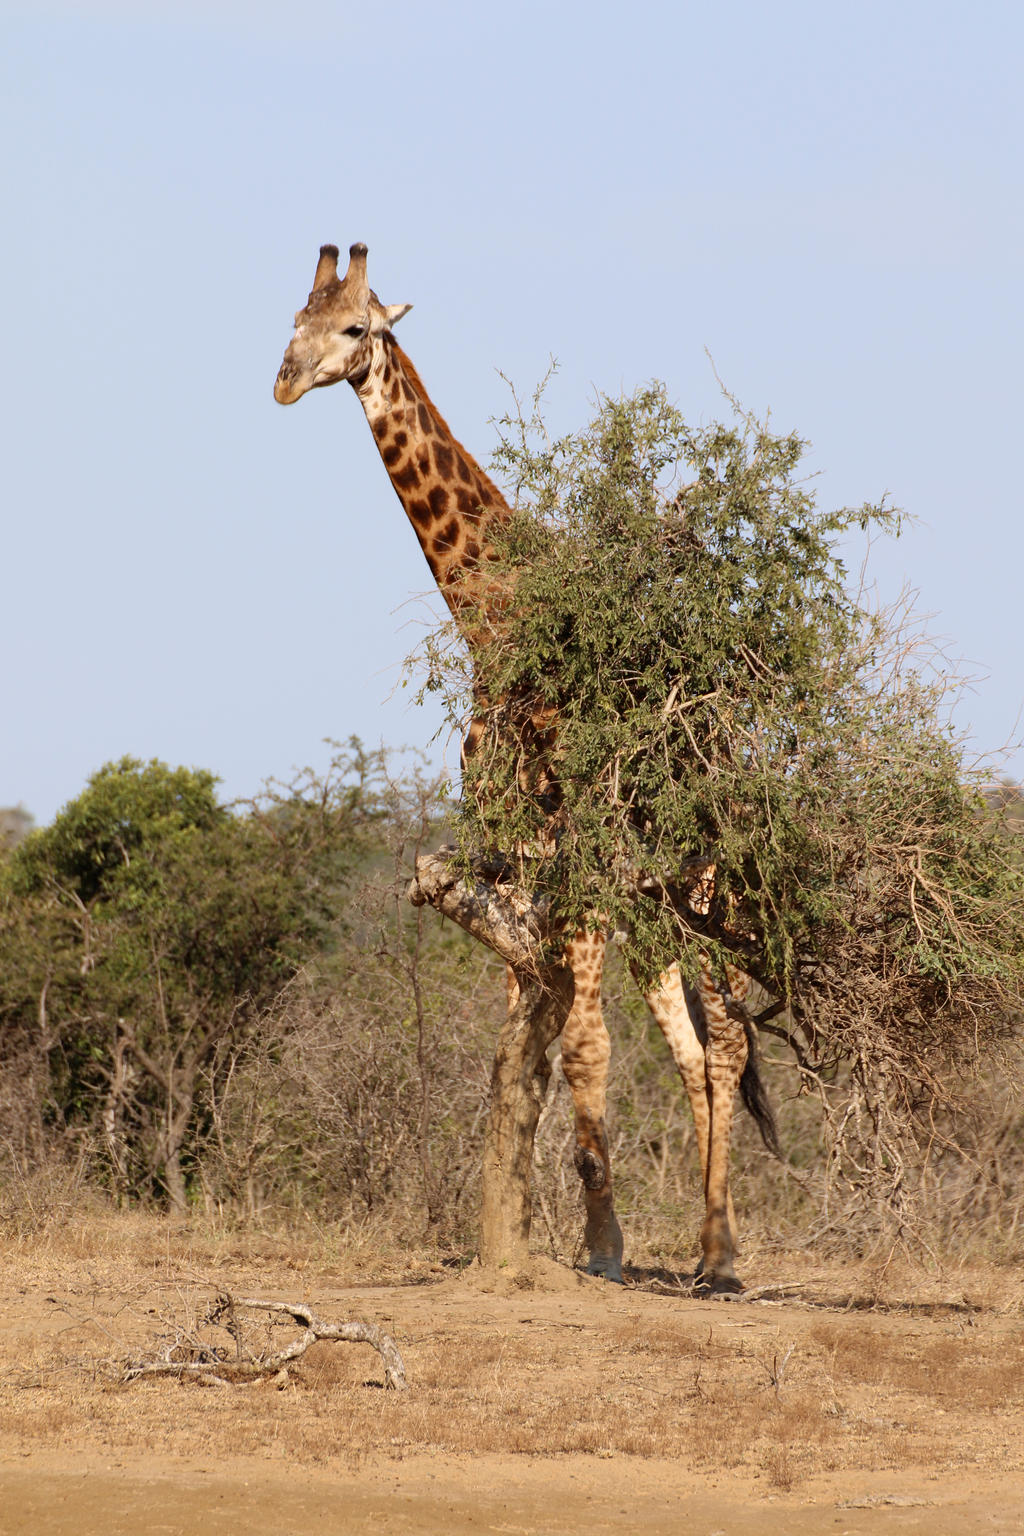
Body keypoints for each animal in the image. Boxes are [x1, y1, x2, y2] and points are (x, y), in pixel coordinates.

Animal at [274, 242, 776, 1296]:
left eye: (355, 327)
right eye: (291, 321)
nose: (284, 382)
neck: (490, 625)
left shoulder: (567, 860)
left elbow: (584, 1050)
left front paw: (604, 1246)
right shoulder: (514, 864)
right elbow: (528, 1051)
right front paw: (534, 1230)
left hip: (700, 884)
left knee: (726, 1038)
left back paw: (720, 1257)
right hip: (653, 902)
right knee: (696, 1047)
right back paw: (710, 1249)